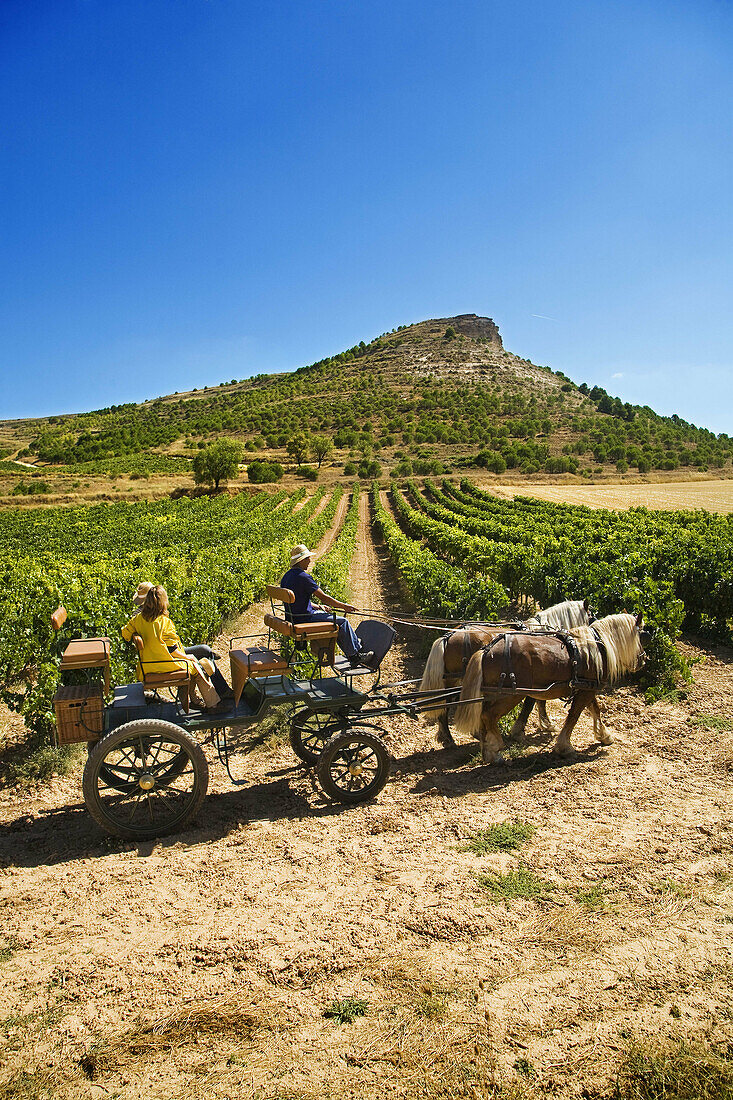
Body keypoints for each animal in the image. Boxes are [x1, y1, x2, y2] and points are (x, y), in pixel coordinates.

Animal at [420, 602, 589, 748]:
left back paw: (449, 735)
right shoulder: (534, 683)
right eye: (591, 614)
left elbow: (540, 702)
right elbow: (531, 704)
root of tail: (447, 636)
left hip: (452, 680)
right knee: (447, 705)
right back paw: (450, 738)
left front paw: (545, 724)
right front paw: (525, 730)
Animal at [453, 620, 647, 765]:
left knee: (483, 716)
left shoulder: (587, 687)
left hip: (494, 693)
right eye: (641, 636)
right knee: (488, 715)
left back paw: (486, 748)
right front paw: (565, 747)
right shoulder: (586, 690)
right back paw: (495, 749)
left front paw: (604, 735)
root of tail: (487, 650)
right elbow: (574, 716)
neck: (596, 648)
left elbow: (595, 710)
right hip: (510, 695)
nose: (643, 659)